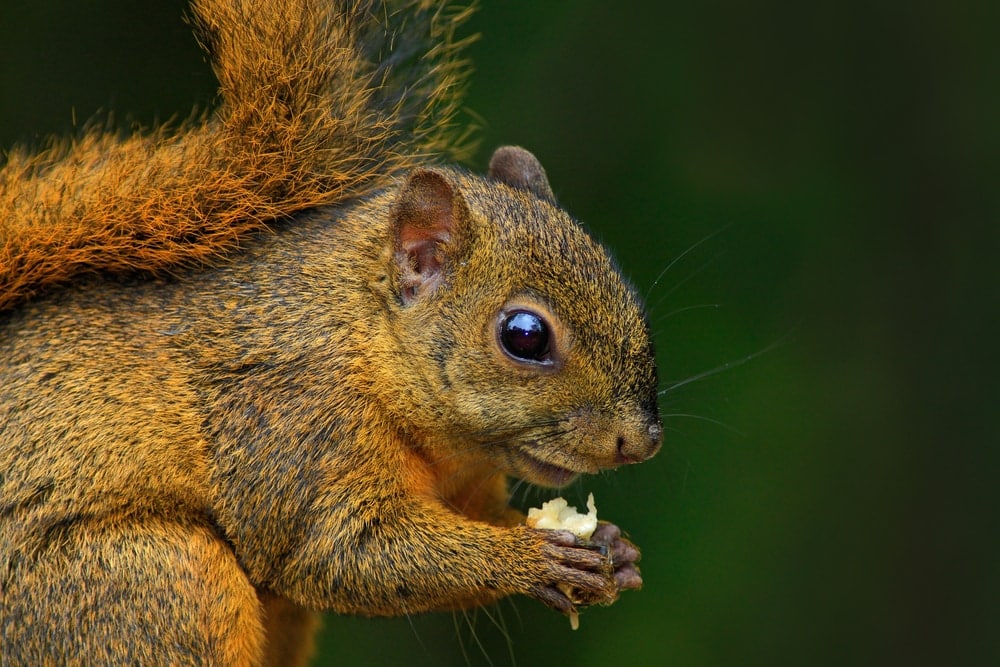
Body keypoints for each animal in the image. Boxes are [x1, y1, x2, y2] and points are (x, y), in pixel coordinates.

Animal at [0, 0, 662, 665]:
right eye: (525, 335)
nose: (643, 442)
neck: (360, 339)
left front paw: (614, 548)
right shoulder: (293, 422)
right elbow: (338, 551)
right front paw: (529, 558)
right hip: (149, 586)